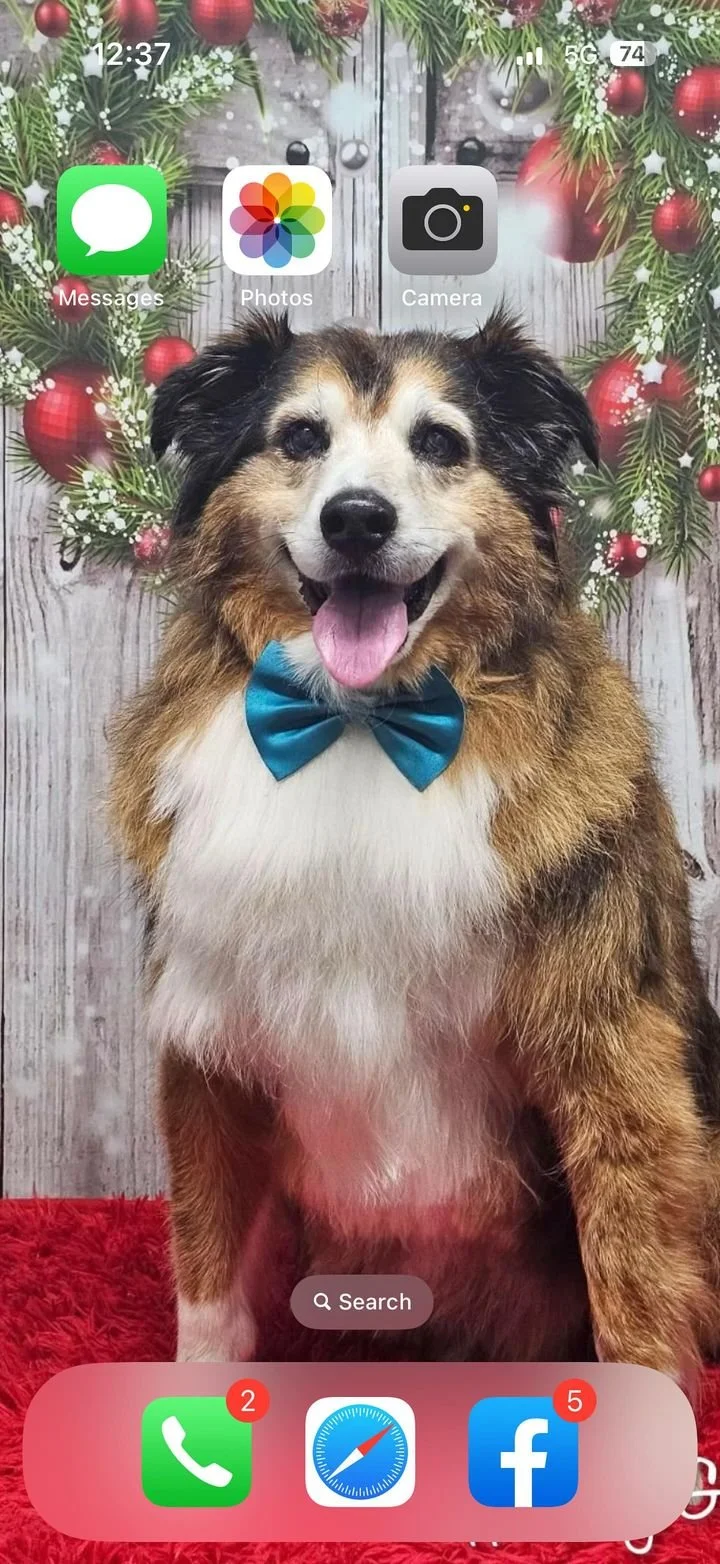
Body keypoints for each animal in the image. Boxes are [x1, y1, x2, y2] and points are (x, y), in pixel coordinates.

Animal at [110, 309, 720, 1382]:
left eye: (439, 442)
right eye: (300, 437)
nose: (357, 519)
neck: (362, 724)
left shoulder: (611, 1050)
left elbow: (633, 1286)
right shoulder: (209, 1047)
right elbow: (207, 1271)